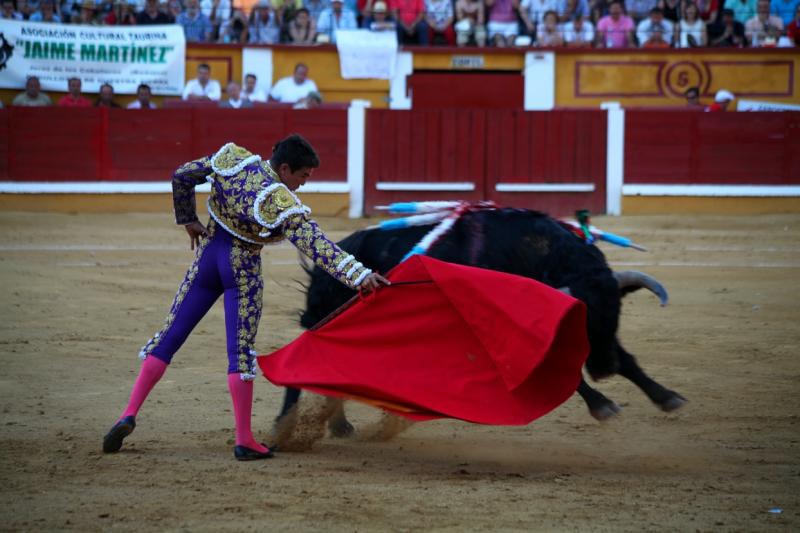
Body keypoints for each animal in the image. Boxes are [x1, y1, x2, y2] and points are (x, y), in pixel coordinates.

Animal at [272, 210, 684, 442]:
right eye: (584, 323)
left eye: (616, 313)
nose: (604, 368)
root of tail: (328, 258)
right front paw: (602, 405)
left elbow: (628, 357)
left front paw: (666, 396)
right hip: (328, 319)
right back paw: (285, 425)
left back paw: (339, 425)